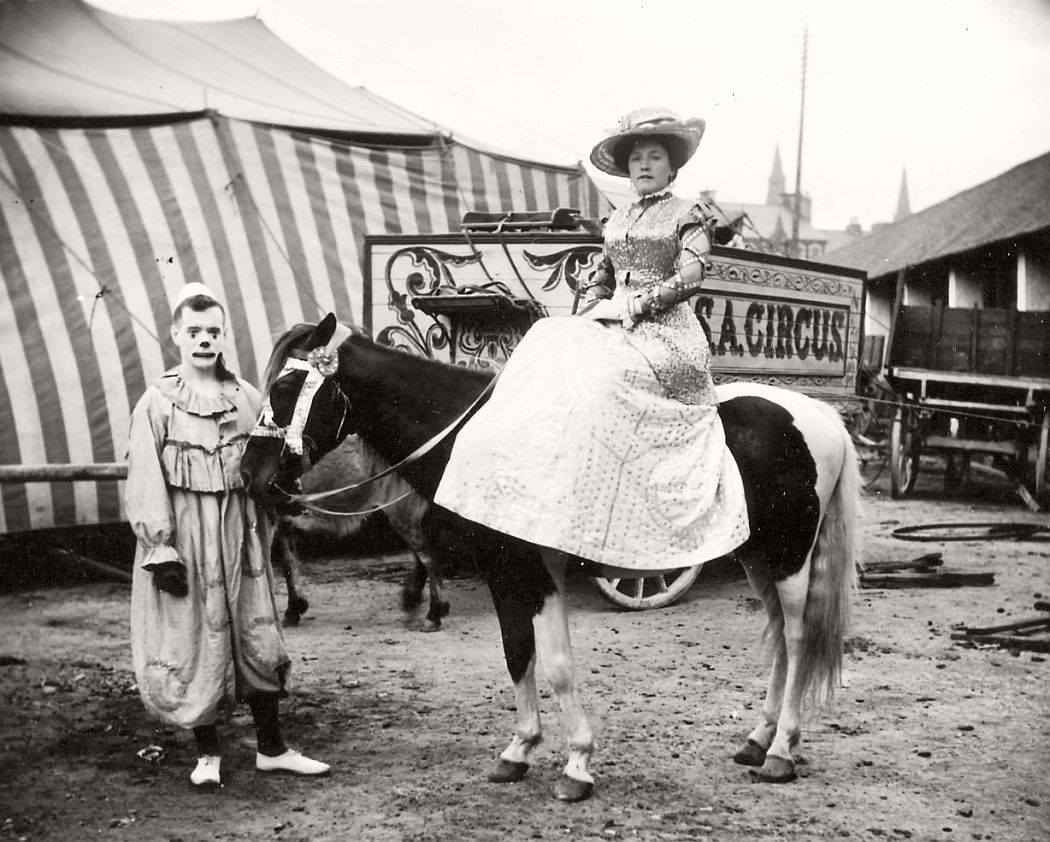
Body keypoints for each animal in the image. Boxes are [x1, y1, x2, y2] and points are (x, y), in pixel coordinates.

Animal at [241, 314, 856, 802]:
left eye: (287, 386)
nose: (251, 475)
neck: (480, 435)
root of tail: (820, 416)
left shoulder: (528, 570)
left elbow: (555, 664)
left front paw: (577, 765)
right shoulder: (514, 571)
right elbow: (522, 655)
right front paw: (520, 751)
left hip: (792, 558)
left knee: (797, 637)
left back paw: (781, 751)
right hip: (758, 559)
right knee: (779, 639)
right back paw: (758, 739)